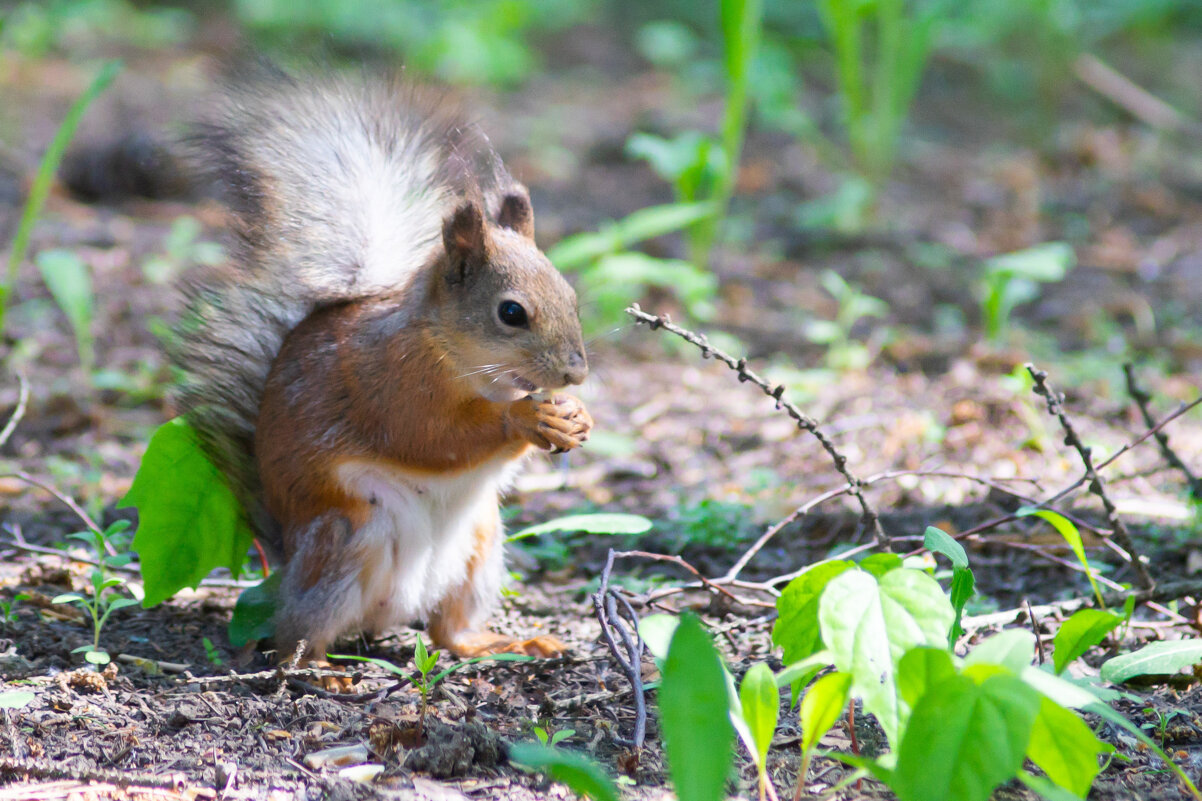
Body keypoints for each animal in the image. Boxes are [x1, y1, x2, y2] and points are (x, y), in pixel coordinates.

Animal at [171, 65, 593, 673]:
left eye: (572, 296)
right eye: (511, 313)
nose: (575, 374)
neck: (466, 364)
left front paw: (576, 416)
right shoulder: (390, 381)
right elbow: (431, 437)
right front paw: (526, 421)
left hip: (481, 546)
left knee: (447, 631)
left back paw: (500, 642)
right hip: (350, 538)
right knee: (296, 633)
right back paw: (322, 671)